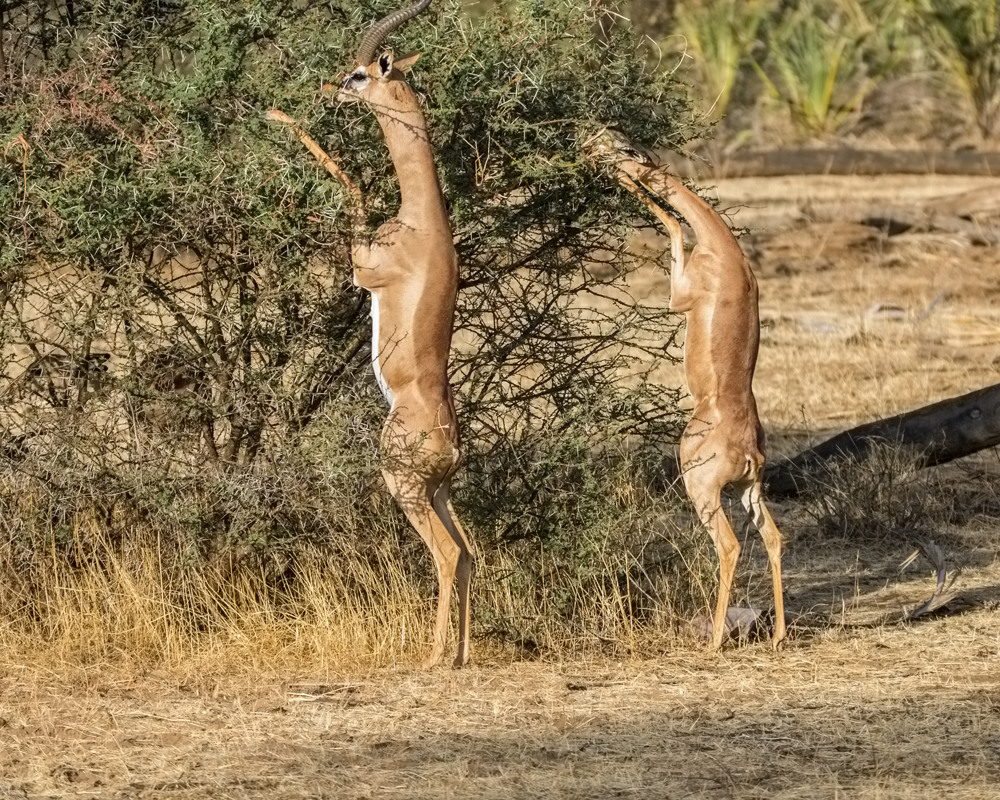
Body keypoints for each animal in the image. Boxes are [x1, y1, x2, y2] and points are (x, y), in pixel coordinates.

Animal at [272, 0, 474, 664]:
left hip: (404, 486)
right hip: (438, 492)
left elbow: (352, 187)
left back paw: (433, 657)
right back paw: (459, 654)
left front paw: (277, 117)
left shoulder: (363, 267)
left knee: (448, 554)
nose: (327, 89)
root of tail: (450, 444)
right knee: (471, 554)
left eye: (359, 74)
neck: (421, 219)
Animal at [584, 130, 788, 648]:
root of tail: (749, 451)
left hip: (704, 492)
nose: (589, 146)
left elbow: (674, 224)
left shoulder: (679, 297)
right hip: (750, 491)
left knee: (731, 546)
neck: (726, 252)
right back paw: (778, 634)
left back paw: (714, 640)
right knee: (774, 538)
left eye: (613, 144)